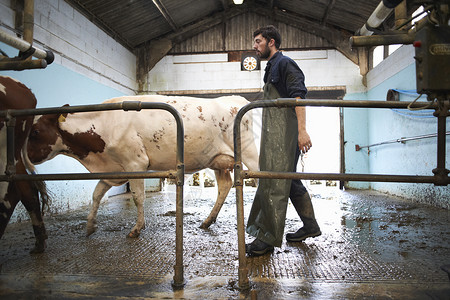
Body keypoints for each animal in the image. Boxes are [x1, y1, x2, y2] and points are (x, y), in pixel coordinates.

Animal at [28, 95, 258, 238]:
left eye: (35, 131)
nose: (26, 156)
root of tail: (234, 98)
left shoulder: (135, 163)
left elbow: (138, 197)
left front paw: (137, 228)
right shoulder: (114, 169)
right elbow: (97, 194)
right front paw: (90, 225)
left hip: (249, 153)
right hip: (218, 161)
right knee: (225, 185)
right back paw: (208, 221)